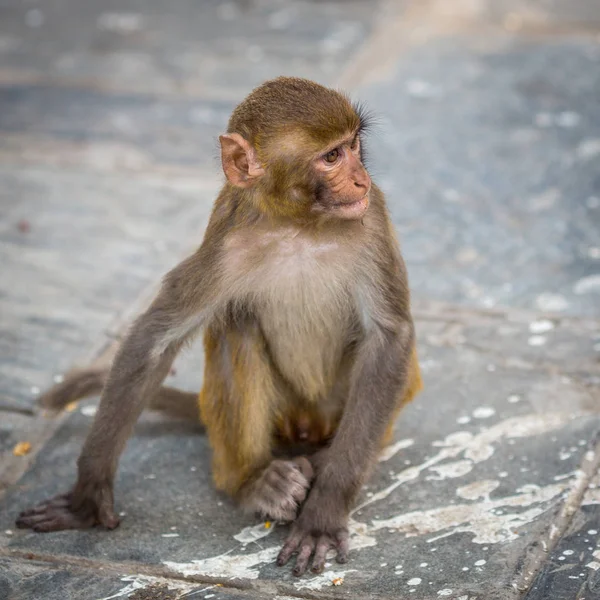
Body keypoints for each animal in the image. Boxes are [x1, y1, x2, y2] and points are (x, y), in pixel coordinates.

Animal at [16, 76, 424, 576]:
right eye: (331, 157)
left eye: (353, 146)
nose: (361, 178)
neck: (300, 226)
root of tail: (304, 426)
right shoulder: (225, 241)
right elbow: (155, 339)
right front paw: (87, 500)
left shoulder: (372, 220)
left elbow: (388, 339)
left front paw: (324, 514)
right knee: (235, 325)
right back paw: (253, 481)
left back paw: (320, 460)